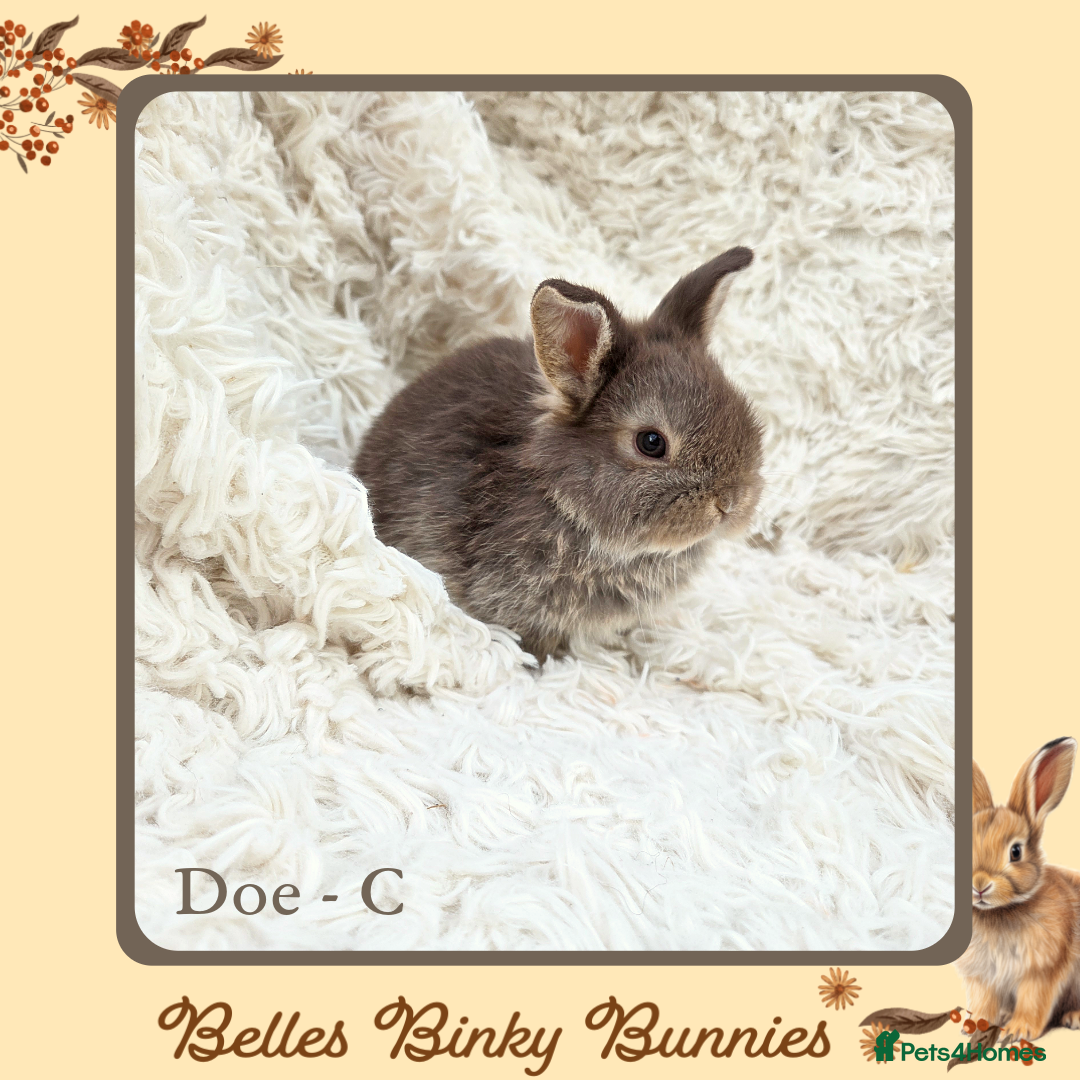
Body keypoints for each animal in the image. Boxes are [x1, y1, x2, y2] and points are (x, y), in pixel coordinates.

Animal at [956, 737, 1080, 1042]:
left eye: (1015, 851)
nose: (979, 885)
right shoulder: (983, 976)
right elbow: (984, 1001)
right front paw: (973, 1025)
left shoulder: (1041, 971)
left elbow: (1033, 1001)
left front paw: (1016, 1032)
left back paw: (1073, 1017)